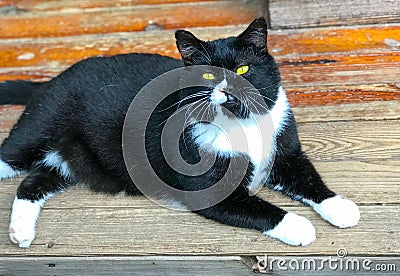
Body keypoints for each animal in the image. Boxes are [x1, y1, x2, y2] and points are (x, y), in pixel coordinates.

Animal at [0, 17, 360, 248]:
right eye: (207, 75)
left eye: (243, 68)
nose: (227, 90)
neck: (242, 126)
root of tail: (50, 81)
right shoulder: (210, 189)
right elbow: (261, 208)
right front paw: (299, 226)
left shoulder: (285, 152)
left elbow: (309, 177)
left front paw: (340, 207)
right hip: (38, 129)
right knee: (14, 158)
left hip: (68, 159)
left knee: (33, 182)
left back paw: (20, 232)